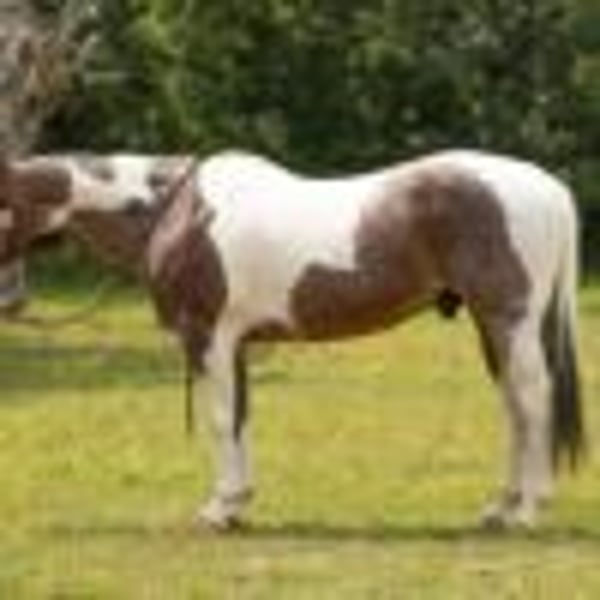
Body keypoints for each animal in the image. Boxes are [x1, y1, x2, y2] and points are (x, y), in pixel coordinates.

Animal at [8, 150, 584, 530]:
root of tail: (550, 189)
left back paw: (529, 509)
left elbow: (220, 420)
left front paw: (218, 508)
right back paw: (501, 506)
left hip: (510, 320)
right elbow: (240, 417)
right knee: (514, 406)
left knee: (533, 399)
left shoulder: (209, 337)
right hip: (493, 326)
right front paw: (238, 505)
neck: (176, 211)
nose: (10, 299)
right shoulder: (237, 344)